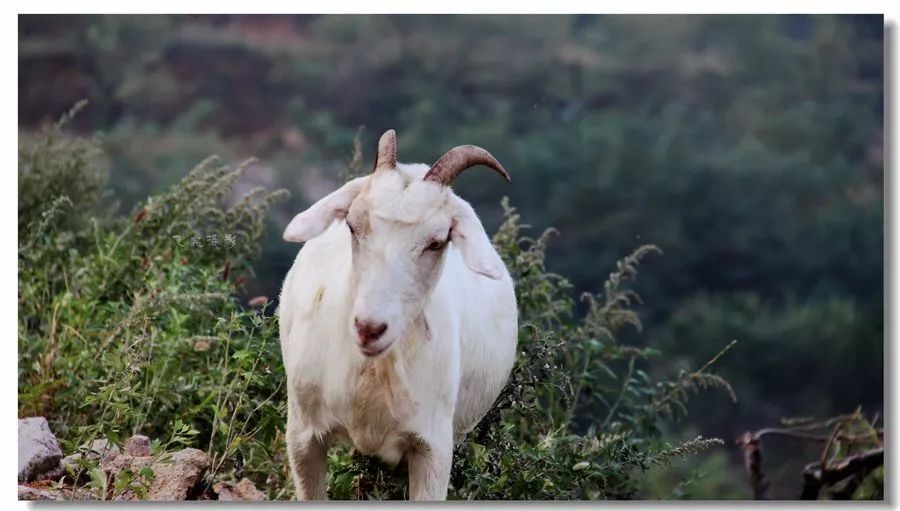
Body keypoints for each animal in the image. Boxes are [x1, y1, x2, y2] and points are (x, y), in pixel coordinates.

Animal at [282, 130, 516, 502]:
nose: (369, 328)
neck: (371, 376)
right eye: (352, 225)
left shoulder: (433, 447)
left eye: (437, 241)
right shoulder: (303, 435)